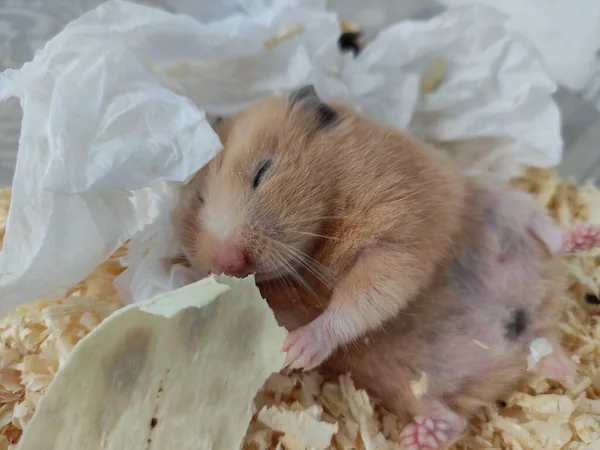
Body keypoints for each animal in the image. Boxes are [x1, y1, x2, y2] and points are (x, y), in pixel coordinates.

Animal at [173, 86, 468, 370]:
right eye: (200, 199)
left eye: (263, 171)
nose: (230, 262)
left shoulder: (398, 234)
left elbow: (365, 297)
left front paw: (295, 352)